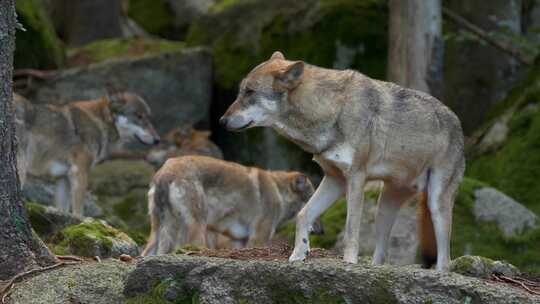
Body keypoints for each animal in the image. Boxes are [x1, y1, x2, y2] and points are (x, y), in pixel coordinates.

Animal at [14, 91, 160, 216]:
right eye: (139, 117)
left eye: (149, 118)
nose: (157, 140)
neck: (100, 123)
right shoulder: (80, 172)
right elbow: (78, 212)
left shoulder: (63, 178)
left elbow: (63, 209)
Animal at [141, 156, 320, 255]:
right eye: (311, 200)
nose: (321, 231)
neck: (279, 191)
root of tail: (165, 173)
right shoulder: (258, 238)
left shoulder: (239, 241)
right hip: (198, 230)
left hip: (159, 232)